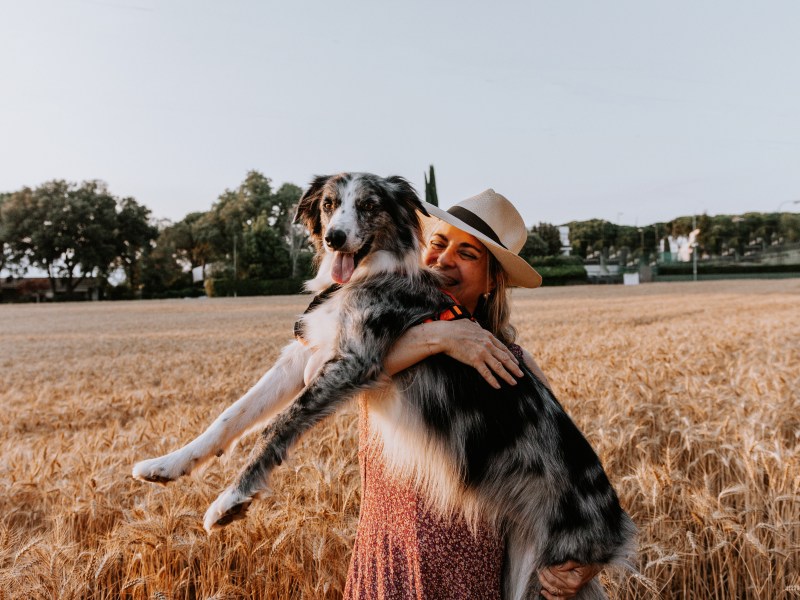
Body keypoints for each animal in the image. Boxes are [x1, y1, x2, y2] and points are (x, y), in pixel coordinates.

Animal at [136, 171, 636, 596]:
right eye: (330, 204)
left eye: (370, 205)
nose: (335, 237)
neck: (366, 275)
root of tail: (617, 526)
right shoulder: (304, 355)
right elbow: (231, 416)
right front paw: (169, 464)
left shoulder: (355, 360)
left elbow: (276, 427)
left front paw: (230, 500)